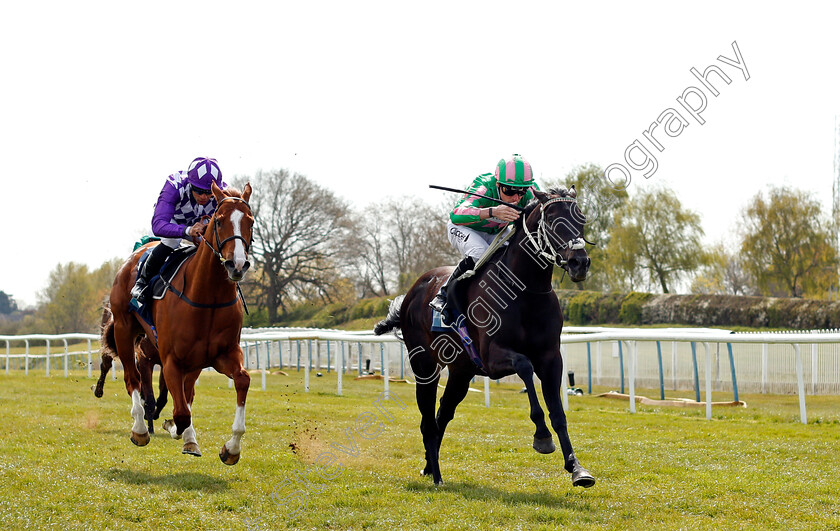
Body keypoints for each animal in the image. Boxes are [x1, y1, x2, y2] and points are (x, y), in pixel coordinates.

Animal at [99, 183, 253, 466]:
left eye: (250, 221)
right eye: (219, 220)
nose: (236, 264)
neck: (209, 298)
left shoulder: (222, 355)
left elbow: (242, 380)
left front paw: (231, 448)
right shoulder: (170, 359)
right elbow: (180, 412)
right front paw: (169, 426)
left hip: (194, 361)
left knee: (186, 393)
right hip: (125, 330)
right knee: (131, 378)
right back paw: (140, 429)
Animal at [374, 186, 596, 486]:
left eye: (581, 217)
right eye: (551, 220)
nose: (579, 263)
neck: (524, 291)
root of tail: (412, 292)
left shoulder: (551, 358)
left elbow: (558, 413)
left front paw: (577, 468)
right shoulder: (492, 358)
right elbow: (525, 367)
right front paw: (541, 436)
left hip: (461, 371)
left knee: (443, 413)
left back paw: (430, 467)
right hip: (424, 366)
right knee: (428, 420)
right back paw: (437, 476)